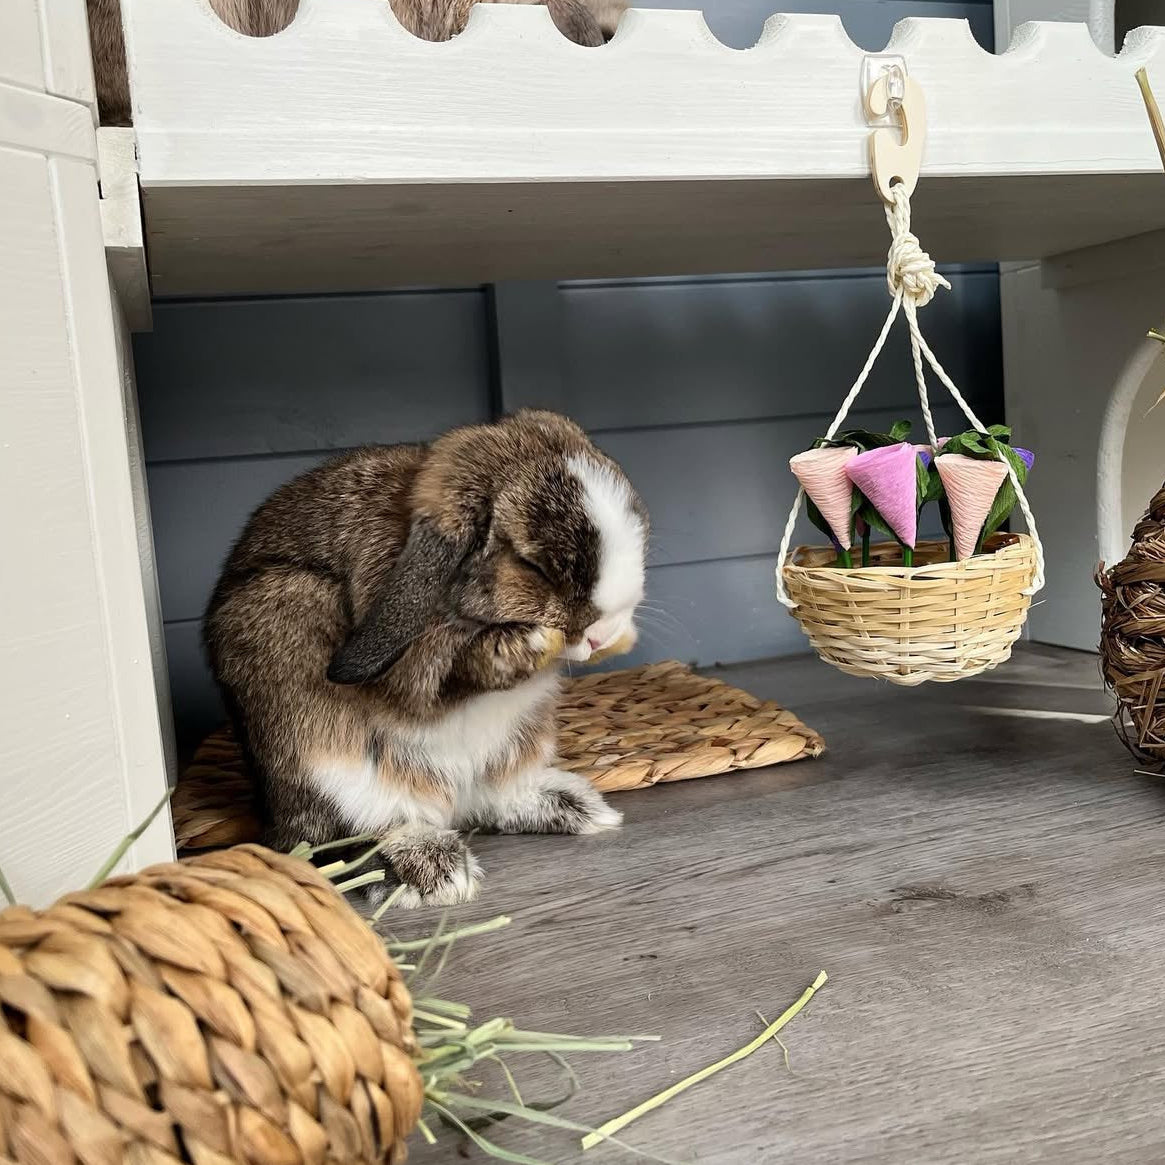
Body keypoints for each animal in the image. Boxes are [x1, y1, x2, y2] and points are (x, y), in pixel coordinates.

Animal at [204, 410, 647, 907]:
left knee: (490, 800)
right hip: (321, 756)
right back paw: (434, 870)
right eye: (532, 565)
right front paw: (523, 646)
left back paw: (575, 807)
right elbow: (447, 676)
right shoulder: (415, 669)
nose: (604, 632)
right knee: (348, 835)